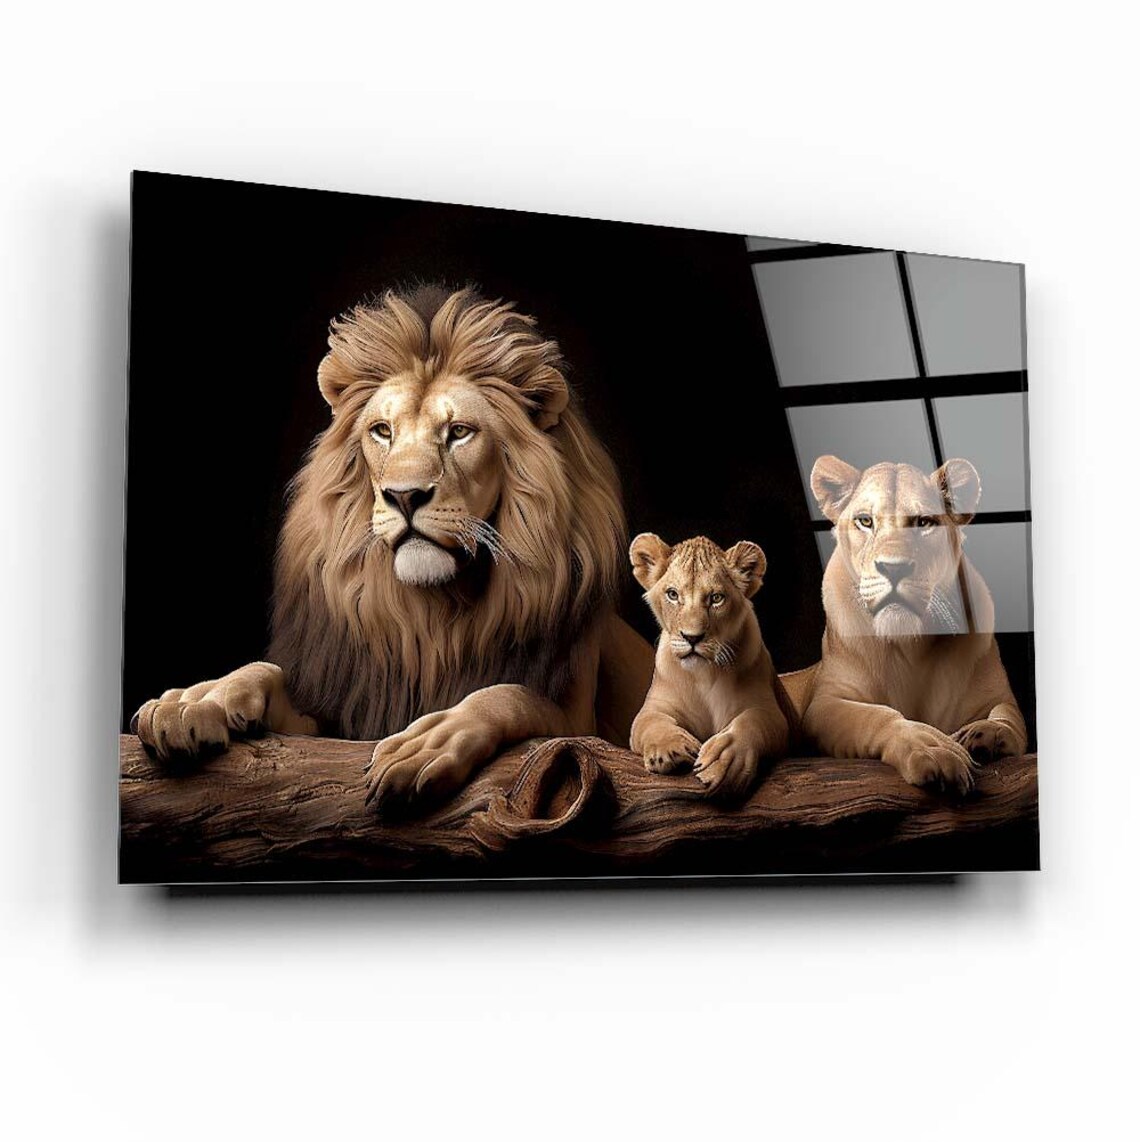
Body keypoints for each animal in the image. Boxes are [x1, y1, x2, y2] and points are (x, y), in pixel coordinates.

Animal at [131, 285, 654, 811]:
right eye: (382, 430)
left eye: (459, 431)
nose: (404, 496)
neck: (434, 613)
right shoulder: (347, 712)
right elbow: (262, 671)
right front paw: (196, 700)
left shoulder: (581, 728)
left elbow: (512, 695)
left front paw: (428, 742)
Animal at [629, 534, 792, 799]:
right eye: (672, 594)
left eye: (716, 598)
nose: (692, 637)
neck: (704, 674)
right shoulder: (654, 707)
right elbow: (650, 722)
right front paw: (669, 748)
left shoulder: (770, 711)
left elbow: (751, 722)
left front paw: (723, 760)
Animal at [801, 454, 1028, 795]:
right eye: (865, 521)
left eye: (924, 522)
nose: (894, 569)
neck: (910, 643)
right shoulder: (823, 705)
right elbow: (875, 716)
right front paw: (932, 748)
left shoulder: (997, 696)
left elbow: (1010, 719)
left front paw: (985, 734)